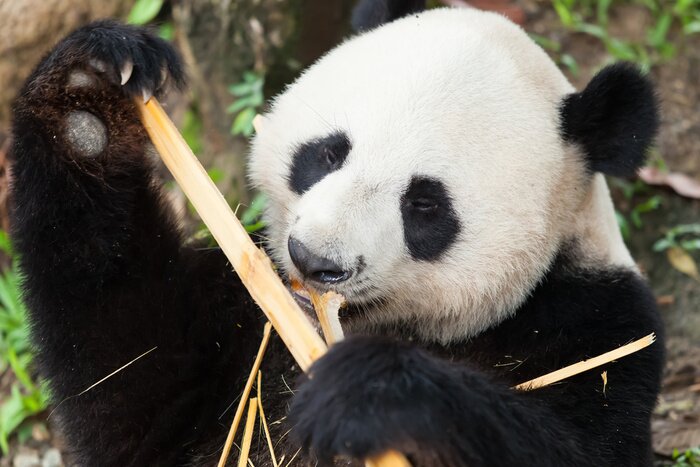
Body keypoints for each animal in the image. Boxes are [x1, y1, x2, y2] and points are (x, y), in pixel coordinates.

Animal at [9, 0, 664, 466]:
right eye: (327, 153)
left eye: (425, 205)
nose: (312, 259)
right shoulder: (237, 327)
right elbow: (130, 382)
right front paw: (86, 93)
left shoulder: (596, 331)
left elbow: (574, 448)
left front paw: (369, 392)